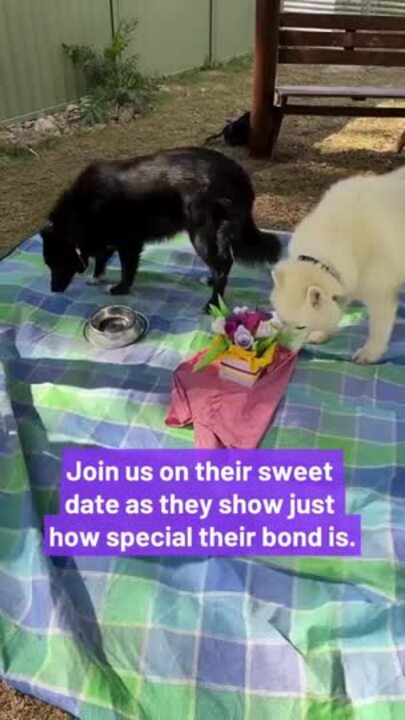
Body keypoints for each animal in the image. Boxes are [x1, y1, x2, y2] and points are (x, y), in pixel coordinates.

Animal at [41, 148, 280, 310]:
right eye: (49, 264)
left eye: (58, 262)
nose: (53, 290)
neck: (79, 211)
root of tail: (239, 174)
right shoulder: (108, 238)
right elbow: (101, 257)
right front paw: (97, 277)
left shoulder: (129, 243)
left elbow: (127, 270)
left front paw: (119, 289)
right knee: (224, 262)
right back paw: (211, 283)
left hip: (201, 234)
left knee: (222, 265)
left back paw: (213, 303)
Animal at [270, 166, 405, 362]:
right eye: (282, 320)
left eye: (301, 326)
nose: (283, 352)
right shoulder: (342, 281)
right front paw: (321, 334)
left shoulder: (380, 294)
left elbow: (378, 328)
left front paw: (369, 353)